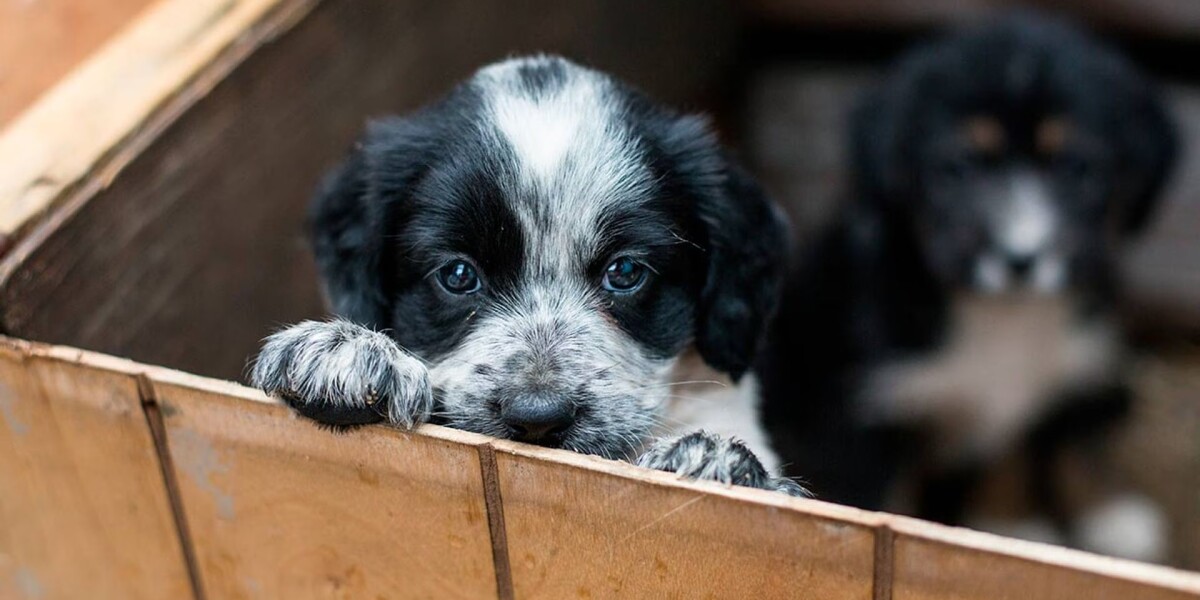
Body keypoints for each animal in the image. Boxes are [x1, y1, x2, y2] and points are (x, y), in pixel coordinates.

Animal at [758, 12, 1180, 556]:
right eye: (956, 167)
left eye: (1077, 167)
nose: (1021, 257)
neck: (1003, 316)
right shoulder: (861, 411)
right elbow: (883, 497)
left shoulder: (1077, 364)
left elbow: (1060, 443)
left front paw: (1102, 513)